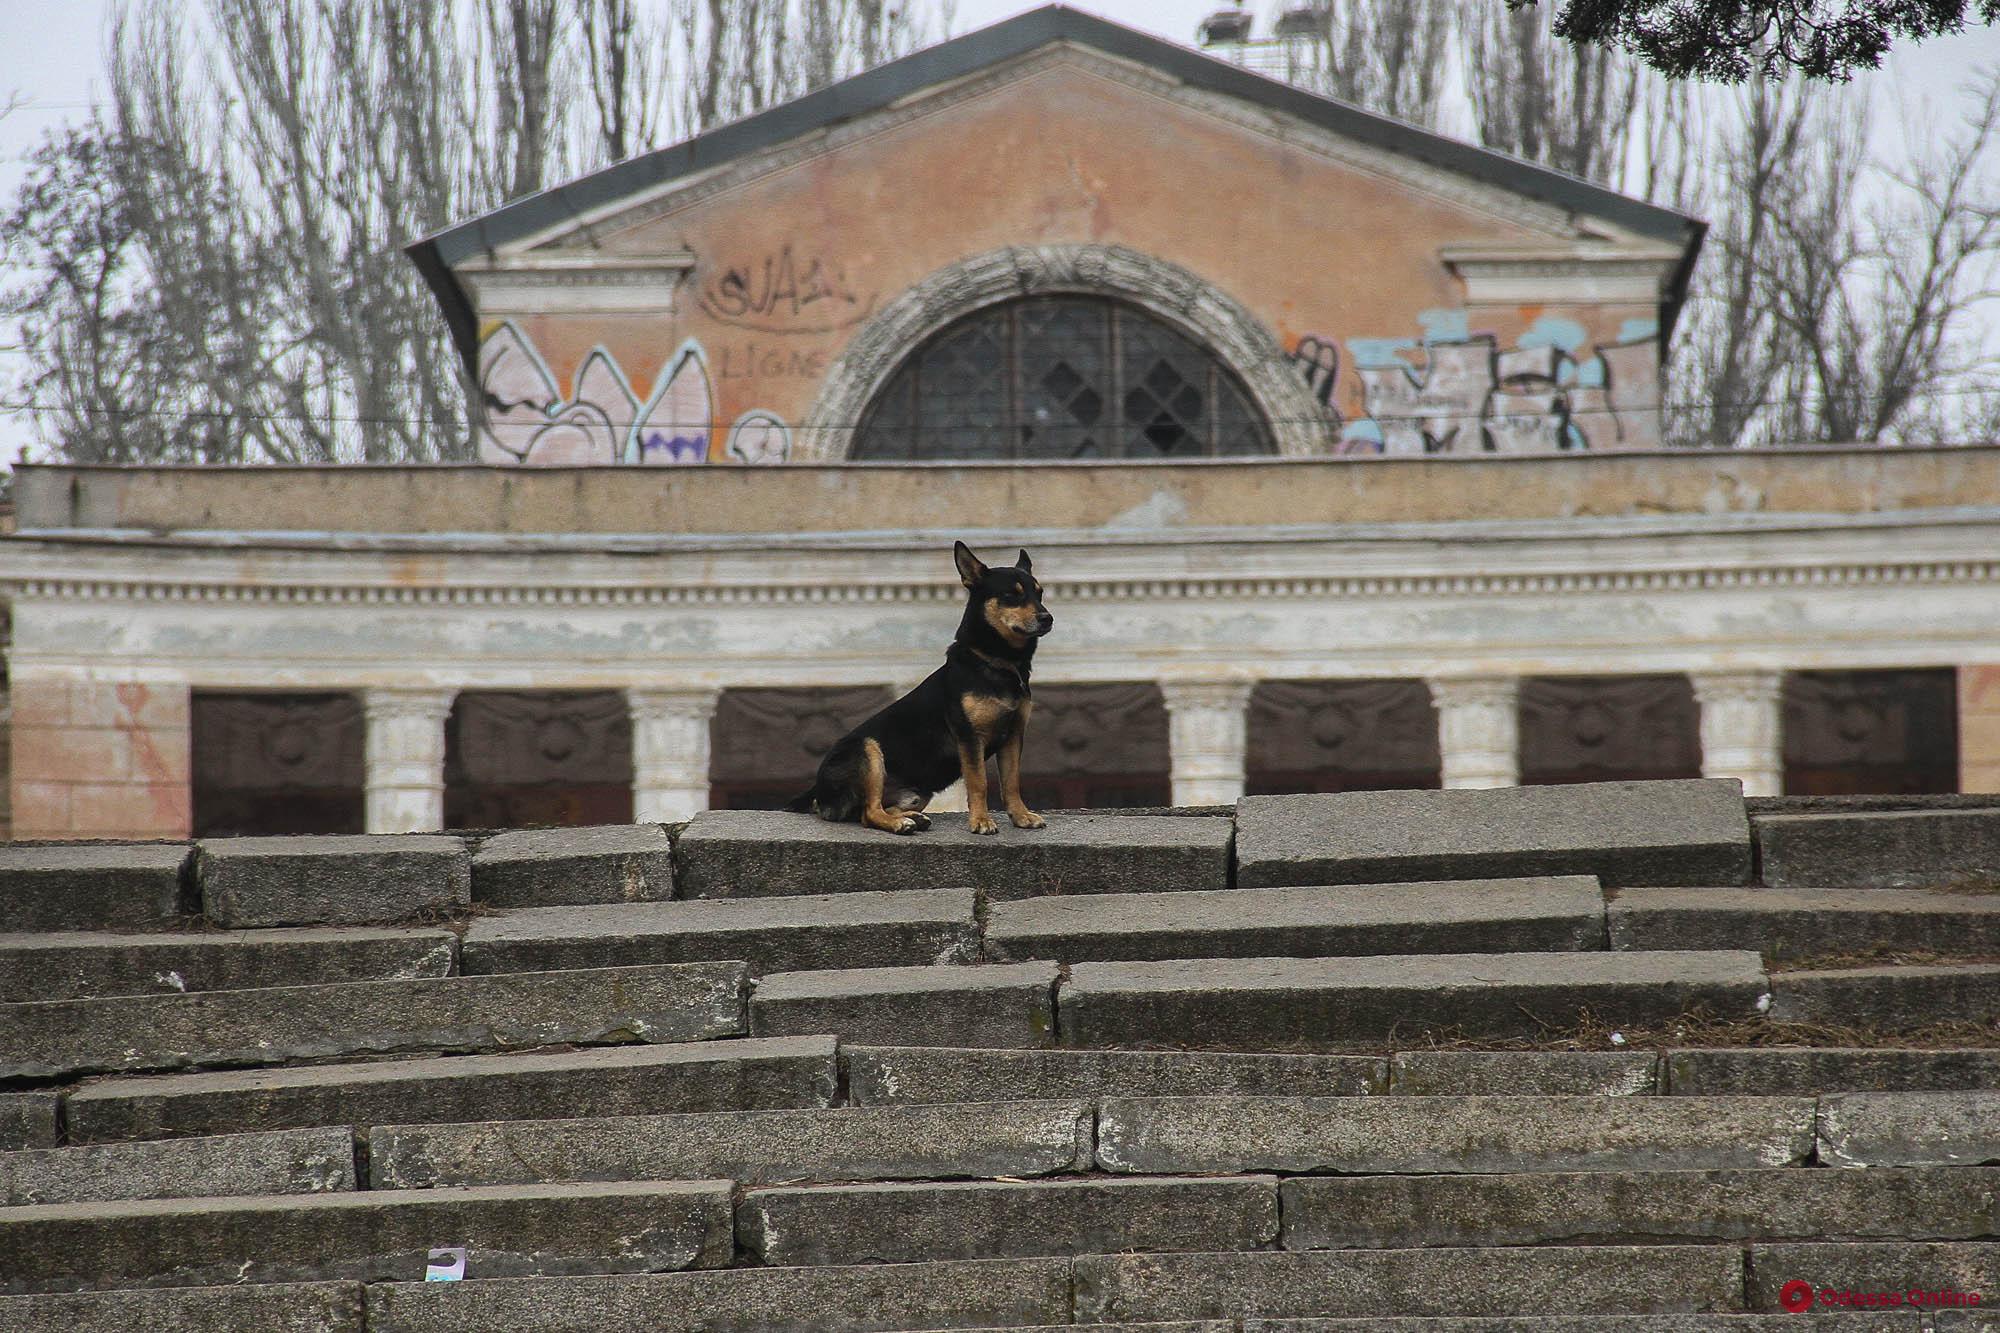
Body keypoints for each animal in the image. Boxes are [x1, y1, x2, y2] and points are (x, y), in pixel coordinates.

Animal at [788, 540, 1056, 832]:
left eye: (1040, 594)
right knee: (869, 812)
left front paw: (1021, 816)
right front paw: (981, 821)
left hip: (917, 793)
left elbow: (1011, 782)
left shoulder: (1013, 735)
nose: (1048, 618)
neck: (997, 662)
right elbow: (979, 783)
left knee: (868, 811)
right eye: (1011, 595)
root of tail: (817, 790)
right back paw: (899, 824)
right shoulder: (969, 737)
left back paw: (912, 818)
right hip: (868, 752)